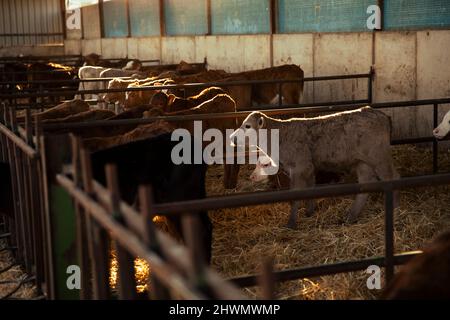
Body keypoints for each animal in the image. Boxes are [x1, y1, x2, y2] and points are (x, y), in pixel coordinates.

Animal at [234, 108, 400, 228]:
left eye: (247, 126)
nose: (232, 137)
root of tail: (381, 114)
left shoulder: (300, 167)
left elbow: (295, 195)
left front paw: (291, 223)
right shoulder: (309, 168)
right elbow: (310, 189)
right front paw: (309, 212)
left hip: (380, 158)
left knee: (393, 178)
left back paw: (394, 207)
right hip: (363, 163)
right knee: (366, 186)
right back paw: (350, 216)